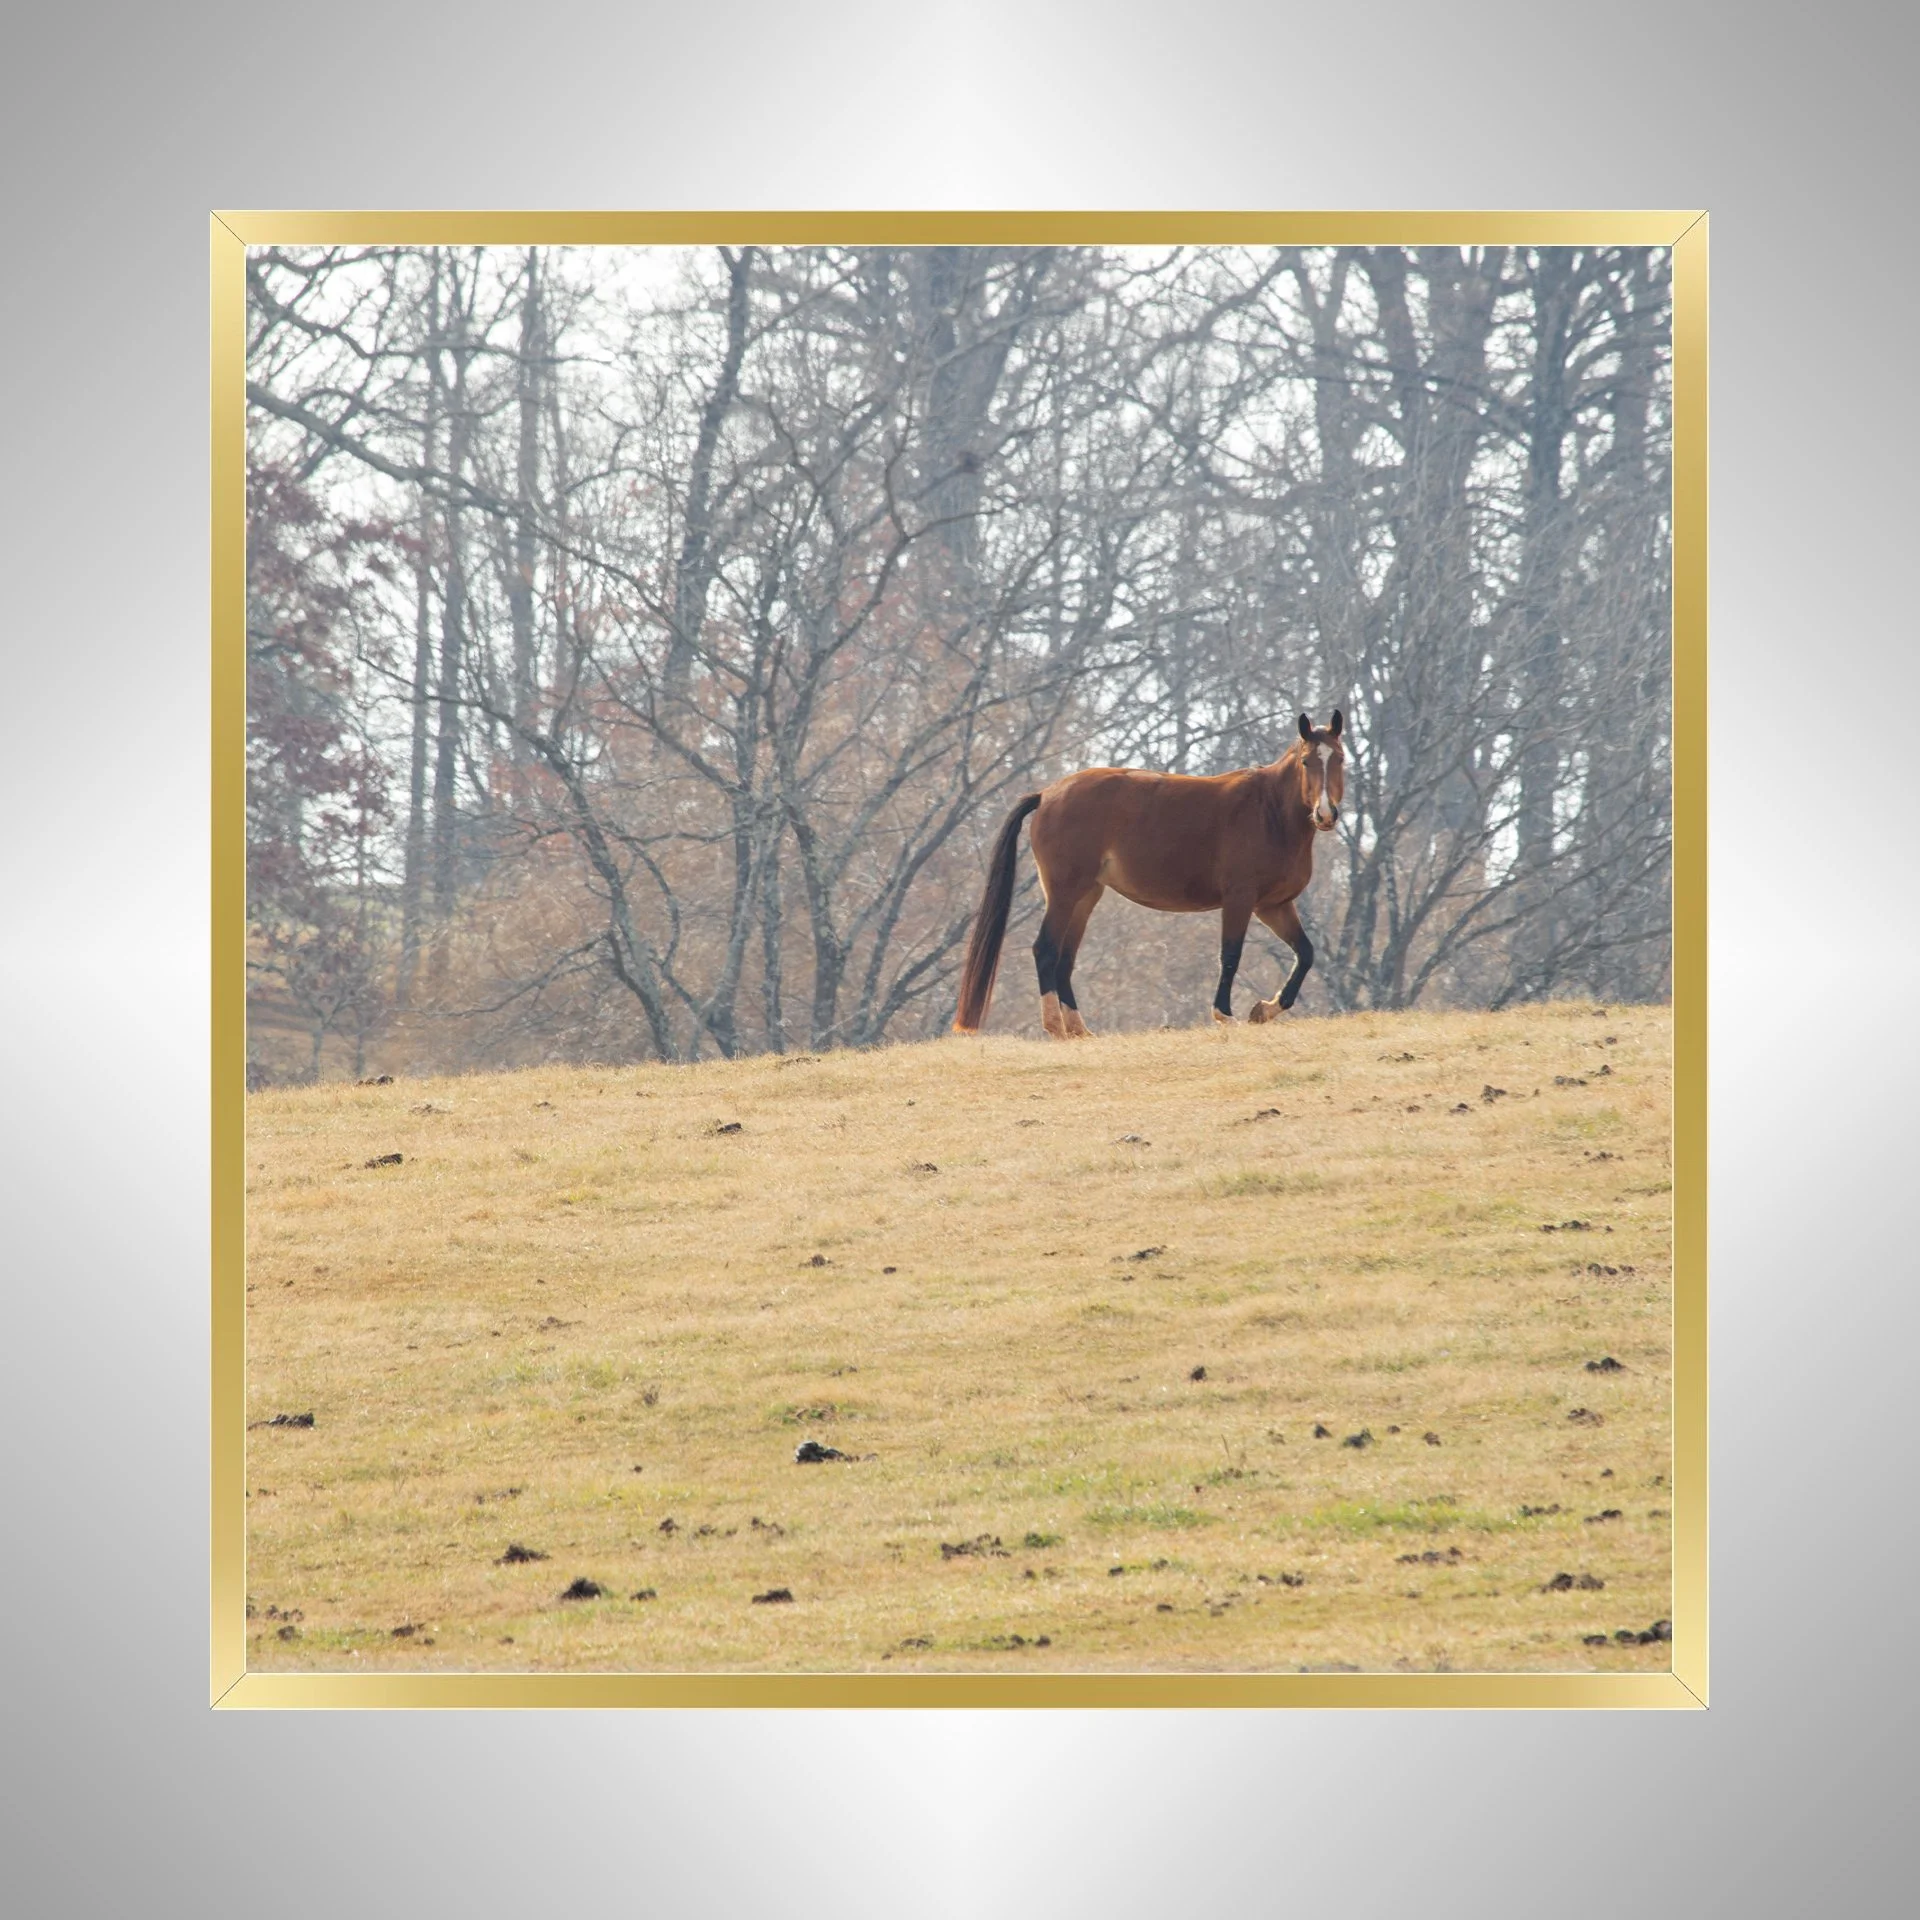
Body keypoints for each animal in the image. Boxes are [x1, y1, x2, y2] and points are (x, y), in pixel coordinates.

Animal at [952, 711, 1345, 1038]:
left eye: (1339, 759)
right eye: (1307, 761)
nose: (1326, 814)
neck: (1269, 812)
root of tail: (1047, 794)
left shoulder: (1273, 905)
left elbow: (1305, 954)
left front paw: (1264, 1009)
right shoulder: (1240, 900)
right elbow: (1231, 955)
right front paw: (1225, 1015)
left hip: (1085, 896)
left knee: (1065, 957)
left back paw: (1079, 1029)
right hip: (1065, 893)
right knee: (1045, 950)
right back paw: (1056, 1028)